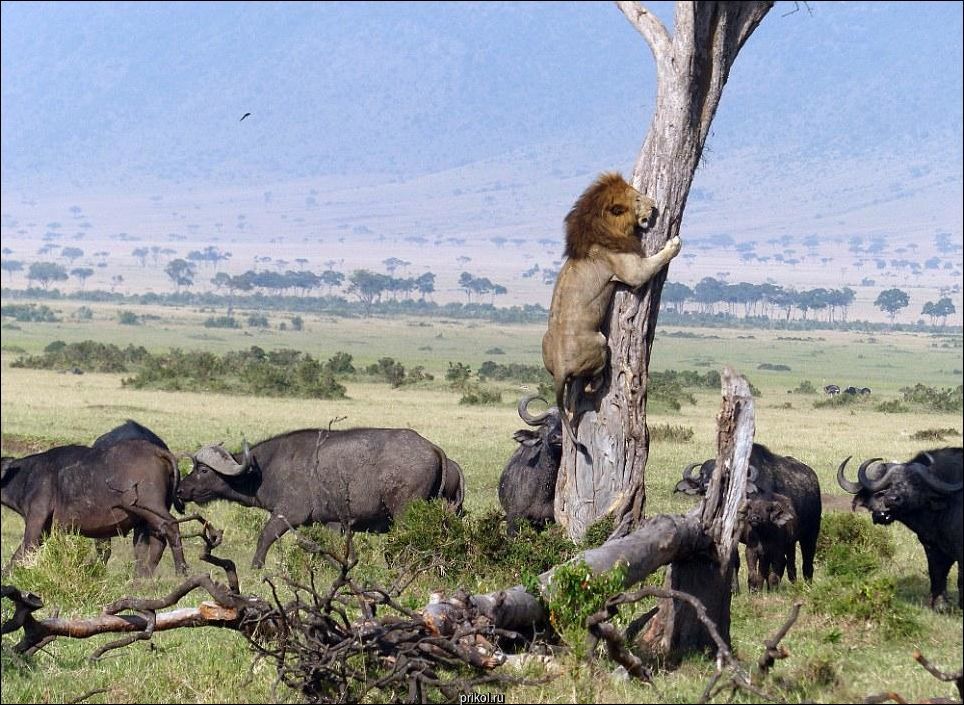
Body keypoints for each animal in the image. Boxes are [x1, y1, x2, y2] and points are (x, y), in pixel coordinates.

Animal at [542, 172, 682, 451]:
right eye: (637, 198)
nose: (654, 206)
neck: (601, 229)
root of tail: (560, 368)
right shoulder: (632, 270)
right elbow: (656, 260)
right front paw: (674, 243)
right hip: (600, 341)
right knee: (590, 381)